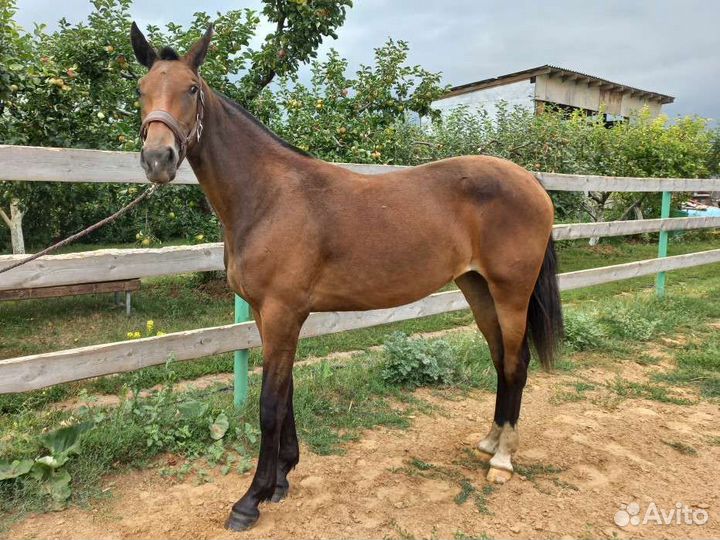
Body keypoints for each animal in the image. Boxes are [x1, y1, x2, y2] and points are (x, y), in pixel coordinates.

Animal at [130, 23, 564, 531]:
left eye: (192, 89)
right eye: (141, 89)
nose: (158, 159)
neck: (269, 196)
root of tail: (532, 181)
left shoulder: (282, 313)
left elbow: (269, 405)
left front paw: (251, 499)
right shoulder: (267, 316)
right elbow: (287, 394)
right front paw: (281, 480)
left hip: (511, 293)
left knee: (516, 363)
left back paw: (502, 461)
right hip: (477, 290)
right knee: (499, 360)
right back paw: (490, 442)